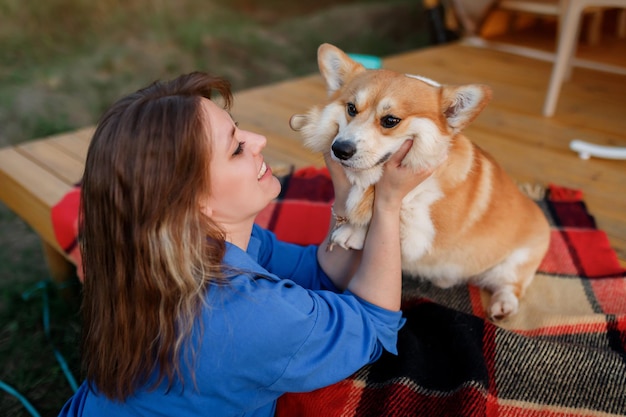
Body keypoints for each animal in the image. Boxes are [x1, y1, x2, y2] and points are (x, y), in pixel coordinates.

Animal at [290, 43, 548, 318]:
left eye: (390, 120)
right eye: (351, 108)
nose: (340, 149)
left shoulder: (422, 234)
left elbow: (393, 215)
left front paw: (354, 231)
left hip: (514, 263)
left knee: (511, 286)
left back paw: (502, 305)